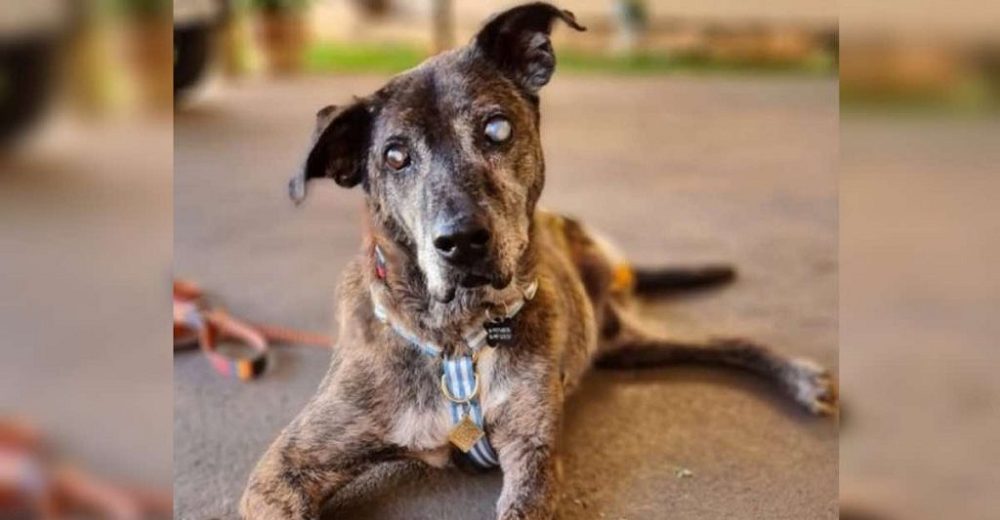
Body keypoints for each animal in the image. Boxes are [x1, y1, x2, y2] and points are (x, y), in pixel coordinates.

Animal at [240, 5, 836, 520]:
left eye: (497, 128)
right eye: (394, 155)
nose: (462, 242)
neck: (456, 338)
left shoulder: (532, 453)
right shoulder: (286, 467)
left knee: (731, 341)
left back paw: (805, 379)